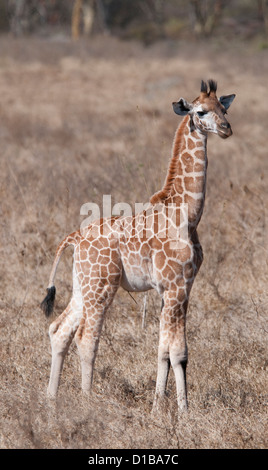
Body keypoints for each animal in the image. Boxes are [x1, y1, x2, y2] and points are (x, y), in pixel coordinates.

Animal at [41, 80, 234, 412]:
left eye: (224, 108)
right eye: (200, 111)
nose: (226, 128)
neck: (187, 213)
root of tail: (75, 237)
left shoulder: (176, 289)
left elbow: (163, 349)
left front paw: (158, 407)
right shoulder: (176, 286)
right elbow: (179, 352)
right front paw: (183, 411)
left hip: (83, 285)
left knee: (60, 330)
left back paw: (52, 400)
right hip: (102, 286)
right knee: (86, 337)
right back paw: (87, 402)